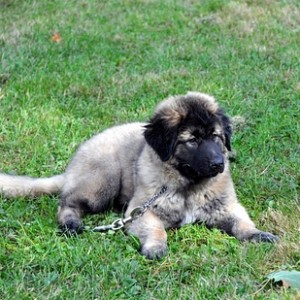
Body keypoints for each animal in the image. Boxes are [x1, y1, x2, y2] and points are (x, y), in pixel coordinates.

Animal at [0, 91, 278, 258]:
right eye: (193, 140)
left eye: (216, 136)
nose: (219, 163)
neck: (187, 185)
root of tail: (70, 169)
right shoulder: (140, 212)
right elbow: (156, 228)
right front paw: (155, 246)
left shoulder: (227, 207)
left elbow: (242, 222)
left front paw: (256, 234)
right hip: (103, 180)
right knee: (67, 203)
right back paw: (71, 223)